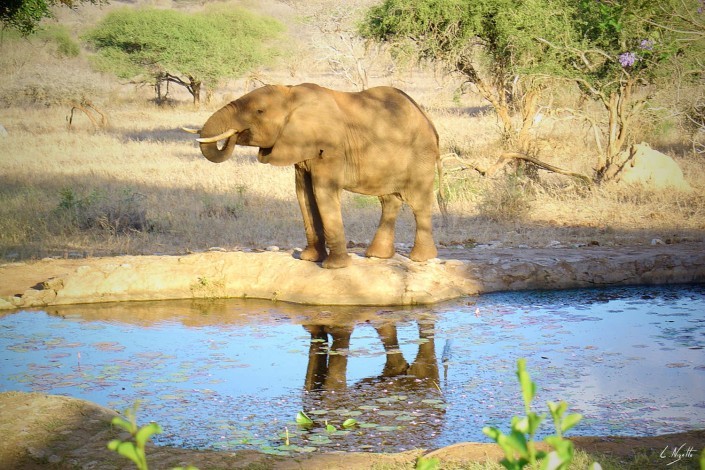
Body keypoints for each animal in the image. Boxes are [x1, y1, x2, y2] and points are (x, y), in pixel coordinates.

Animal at [184, 82, 442, 270]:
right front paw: (309, 259)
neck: (290, 94)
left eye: (259, 111)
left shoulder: (331, 147)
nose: (234, 136)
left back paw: (420, 259)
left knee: (418, 202)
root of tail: (426, 117)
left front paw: (334, 267)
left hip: (421, 155)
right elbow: (303, 194)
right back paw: (377, 256)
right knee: (389, 200)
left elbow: (322, 192)